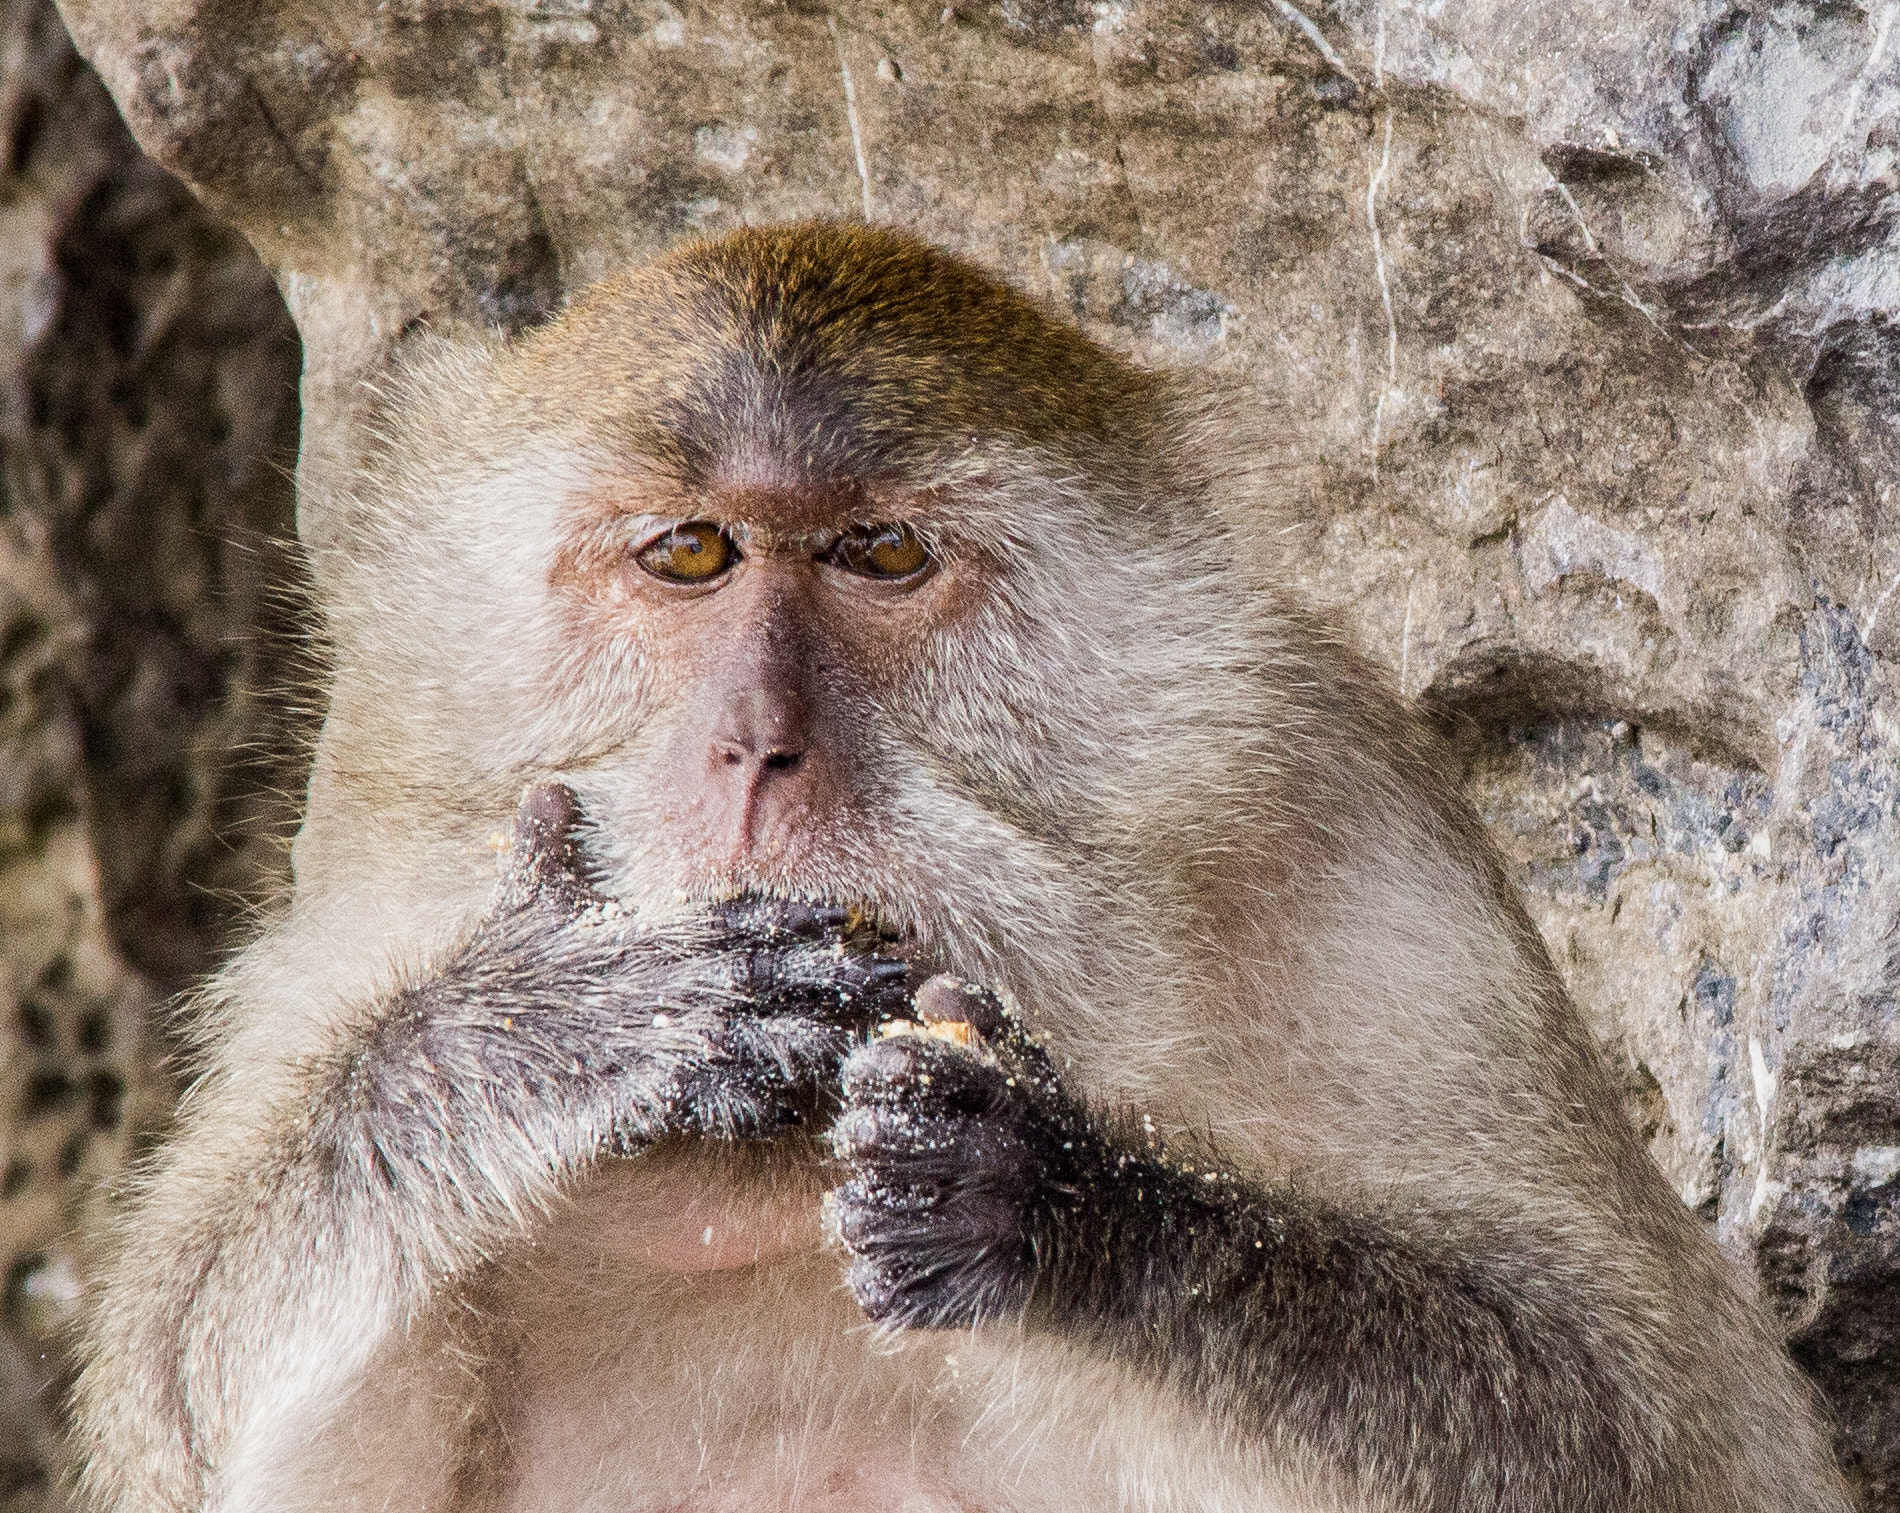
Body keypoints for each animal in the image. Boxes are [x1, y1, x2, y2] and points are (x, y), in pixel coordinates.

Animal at [70, 222, 1849, 1513]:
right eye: (690, 552)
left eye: (882, 554)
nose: (757, 747)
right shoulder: (379, 834)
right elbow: (182, 1401)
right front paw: (538, 1036)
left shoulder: (1359, 851)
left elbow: (1655, 1426)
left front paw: (1061, 1203)